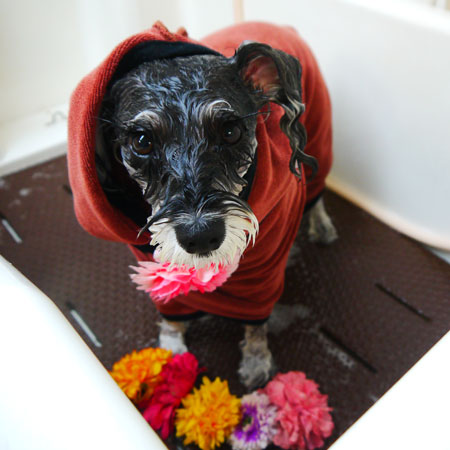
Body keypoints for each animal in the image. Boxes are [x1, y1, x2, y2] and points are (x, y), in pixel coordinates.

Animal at [68, 22, 337, 389]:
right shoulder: (153, 260)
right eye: (142, 141)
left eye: (230, 130)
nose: (200, 236)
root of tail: (281, 26)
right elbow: (172, 310)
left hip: (319, 137)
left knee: (317, 191)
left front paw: (256, 361)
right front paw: (170, 350)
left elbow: (255, 321)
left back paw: (322, 225)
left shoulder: (264, 268)